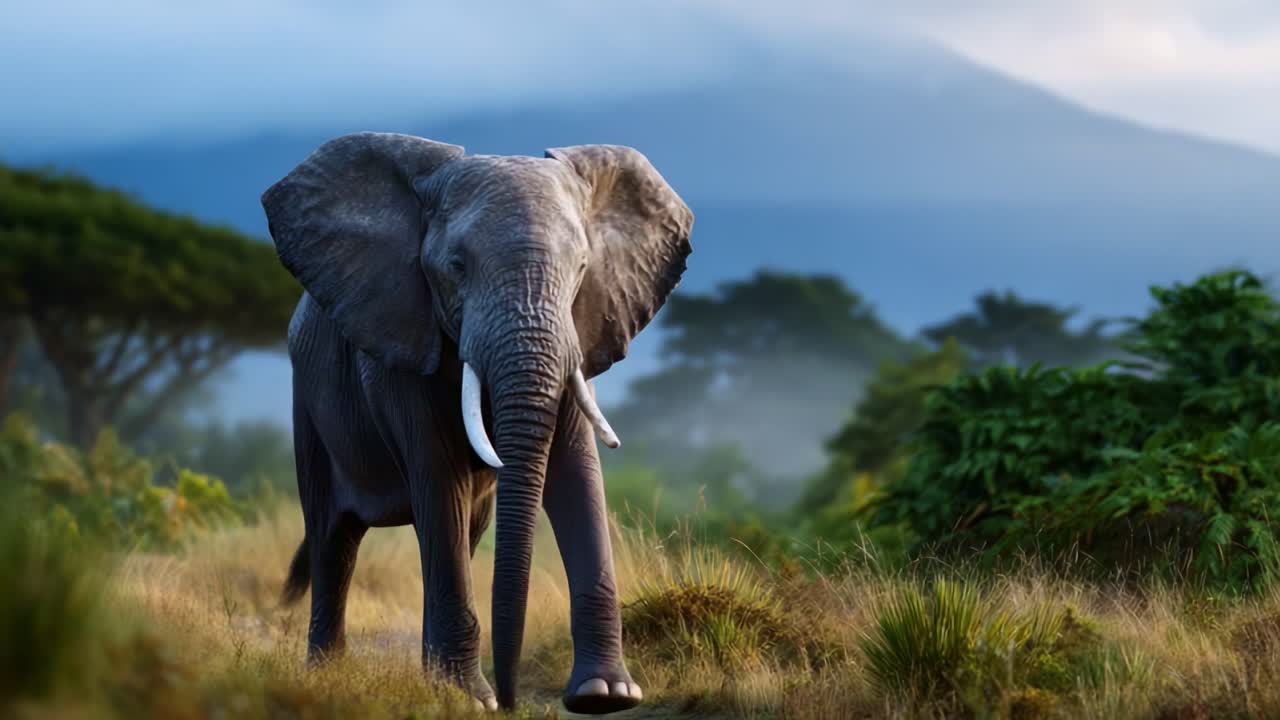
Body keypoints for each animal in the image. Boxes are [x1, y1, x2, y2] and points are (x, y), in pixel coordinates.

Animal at [262, 132, 693, 714]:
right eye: (457, 266)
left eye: (582, 266)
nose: (512, 701)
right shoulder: (404, 348)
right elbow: (437, 476)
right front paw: (468, 700)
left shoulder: (581, 335)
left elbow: (578, 475)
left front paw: (606, 695)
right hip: (307, 401)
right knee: (335, 537)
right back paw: (328, 677)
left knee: (462, 532)